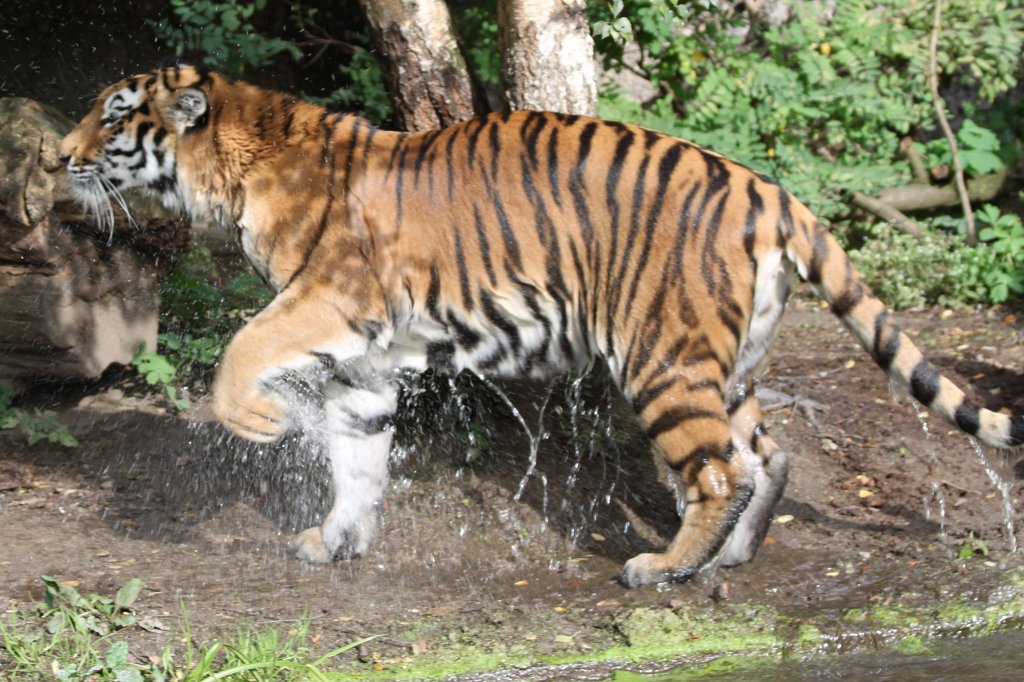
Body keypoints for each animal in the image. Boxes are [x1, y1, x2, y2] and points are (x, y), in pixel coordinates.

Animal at [59, 63, 1023, 587]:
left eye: (114, 113)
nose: (59, 157)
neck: (232, 165)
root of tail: (765, 188)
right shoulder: (365, 360)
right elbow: (357, 455)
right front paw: (336, 541)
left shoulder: (329, 297)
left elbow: (241, 348)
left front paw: (259, 420)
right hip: (731, 363)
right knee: (766, 457)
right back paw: (726, 561)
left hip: (663, 356)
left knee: (716, 471)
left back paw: (665, 568)